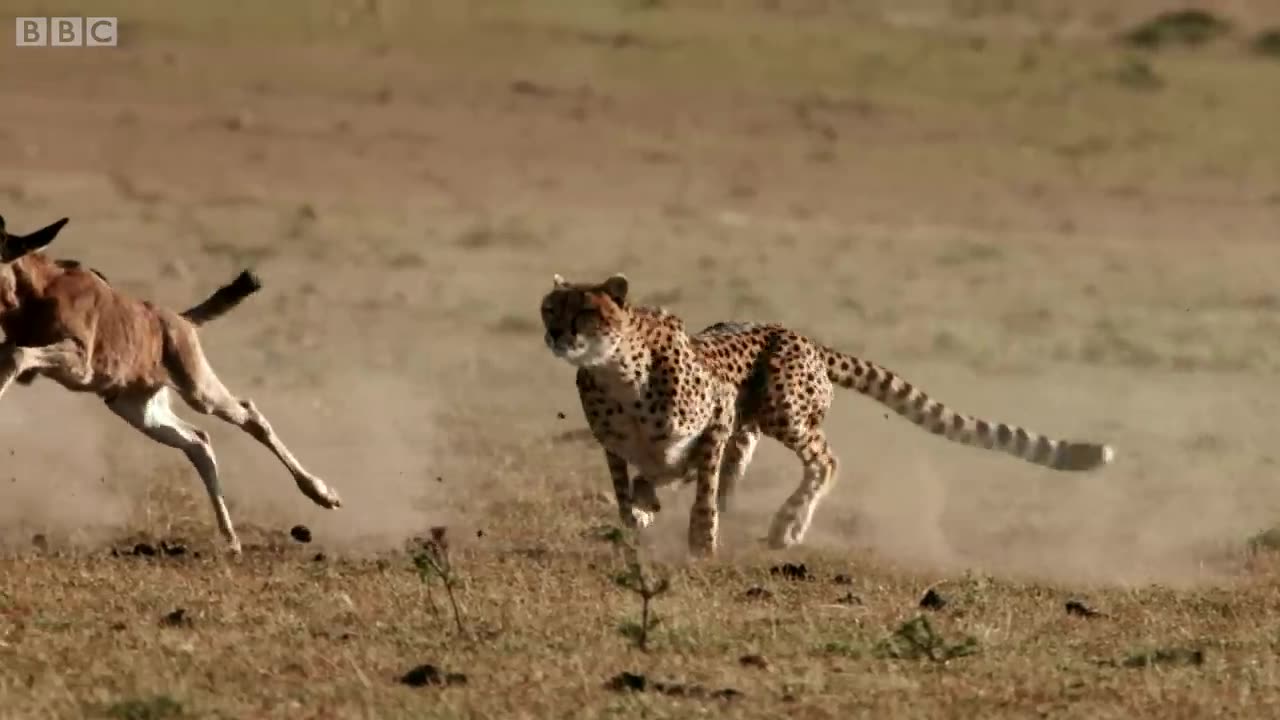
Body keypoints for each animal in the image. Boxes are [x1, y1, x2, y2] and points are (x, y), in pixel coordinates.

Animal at [540, 272, 1111, 556]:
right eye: (550, 307)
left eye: (585, 311)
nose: (555, 333)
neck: (615, 370)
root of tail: (800, 335)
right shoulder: (618, 446)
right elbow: (630, 488)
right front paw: (639, 513)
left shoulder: (718, 413)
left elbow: (700, 493)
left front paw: (701, 542)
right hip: (756, 424)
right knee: (739, 466)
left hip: (782, 407)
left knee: (825, 461)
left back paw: (786, 526)